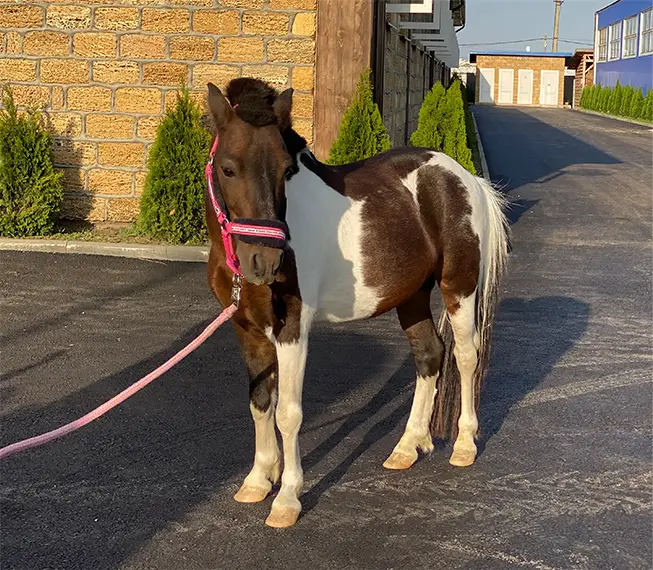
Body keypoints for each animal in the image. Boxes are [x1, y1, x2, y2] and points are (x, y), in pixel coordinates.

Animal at [204, 77, 510, 524]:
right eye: (228, 167)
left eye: (285, 170)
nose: (264, 261)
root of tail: (466, 178)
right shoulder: (246, 327)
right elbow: (261, 403)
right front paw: (258, 480)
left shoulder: (292, 327)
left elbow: (288, 413)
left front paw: (287, 498)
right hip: (411, 295)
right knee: (429, 355)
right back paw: (407, 447)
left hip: (459, 288)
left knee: (465, 356)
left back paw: (465, 445)